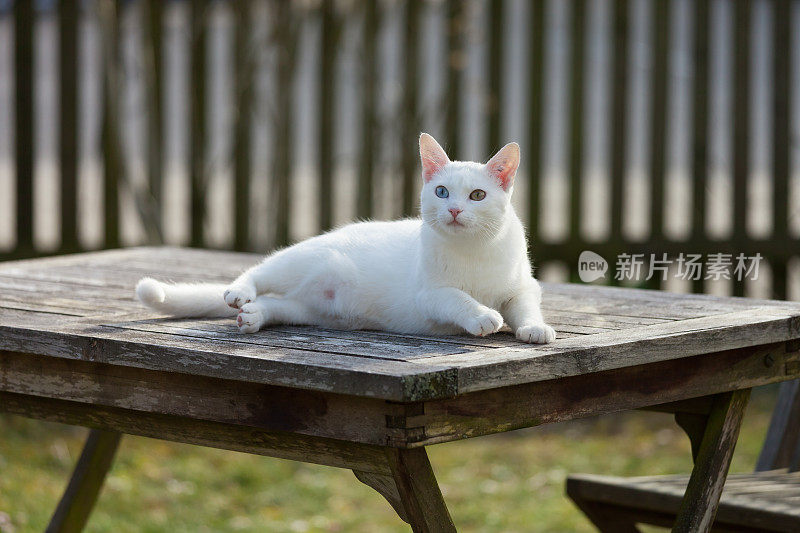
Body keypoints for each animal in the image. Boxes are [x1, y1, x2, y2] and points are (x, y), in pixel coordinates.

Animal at [138, 132, 556, 340]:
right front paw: (483, 315)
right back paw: (241, 295)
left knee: (283, 305)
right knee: (259, 273)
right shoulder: (430, 295)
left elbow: (523, 305)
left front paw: (534, 328)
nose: (453, 210)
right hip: (298, 260)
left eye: (477, 196)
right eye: (441, 192)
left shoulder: (523, 287)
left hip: (320, 312)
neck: (474, 250)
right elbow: (459, 298)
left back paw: (254, 316)